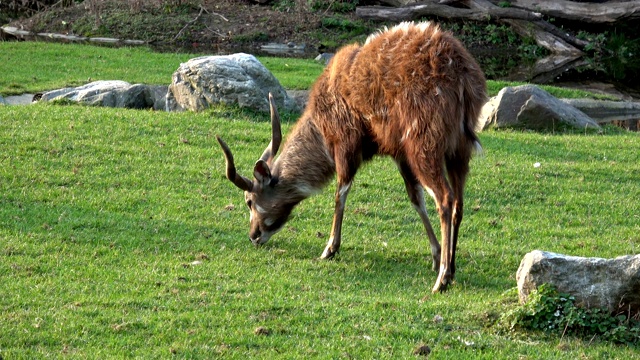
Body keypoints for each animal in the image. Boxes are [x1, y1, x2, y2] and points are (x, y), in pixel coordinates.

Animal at [218, 21, 488, 292]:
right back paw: (451, 267)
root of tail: (462, 77)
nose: (254, 236)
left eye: (249, 201)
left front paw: (329, 249)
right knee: (458, 203)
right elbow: (415, 198)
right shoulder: (398, 153)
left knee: (445, 198)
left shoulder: (346, 144)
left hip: (424, 147)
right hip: (458, 152)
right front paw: (435, 254)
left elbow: (341, 192)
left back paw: (442, 279)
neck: (321, 123)